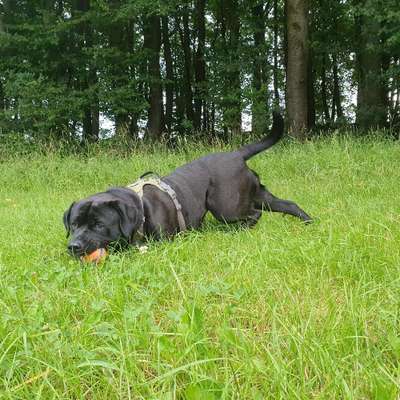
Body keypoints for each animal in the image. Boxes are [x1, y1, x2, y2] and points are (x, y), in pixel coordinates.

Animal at [64, 111, 310, 256]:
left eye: (98, 225)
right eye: (73, 225)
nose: (73, 246)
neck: (140, 209)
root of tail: (236, 154)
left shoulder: (164, 241)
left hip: (226, 206)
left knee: (253, 215)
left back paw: (237, 231)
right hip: (257, 194)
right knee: (288, 204)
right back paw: (309, 222)